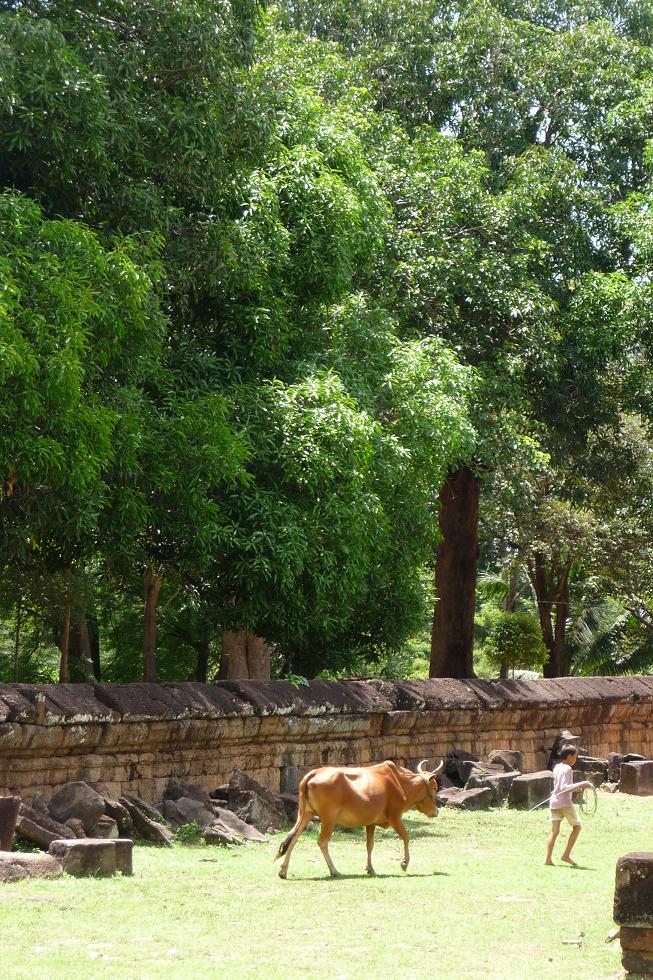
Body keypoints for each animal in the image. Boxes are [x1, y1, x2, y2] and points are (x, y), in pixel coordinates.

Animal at [276, 758, 443, 879]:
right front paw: (404, 863)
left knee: (293, 838)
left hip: (305, 814)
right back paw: (334, 870)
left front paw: (370, 868)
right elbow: (406, 837)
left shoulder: (371, 823)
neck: (400, 784)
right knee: (322, 842)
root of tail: (312, 774)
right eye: (435, 788)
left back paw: (283, 871)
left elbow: (369, 845)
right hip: (328, 818)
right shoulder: (395, 817)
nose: (435, 811)